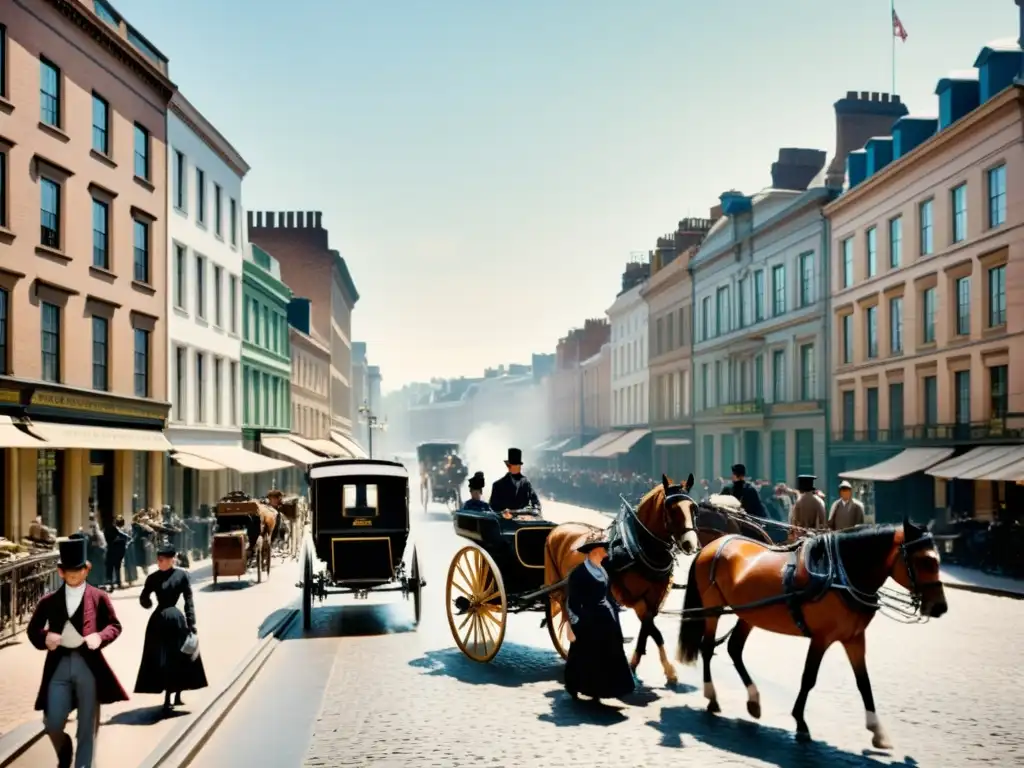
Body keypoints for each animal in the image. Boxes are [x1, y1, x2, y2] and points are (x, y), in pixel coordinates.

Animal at [540, 475, 700, 684]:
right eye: (671, 509)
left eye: (693, 508)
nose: (690, 544)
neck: (636, 547)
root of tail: (557, 530)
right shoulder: (631, 598)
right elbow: (654, 630)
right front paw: (666, 669)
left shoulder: (654, 601)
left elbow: (648, 630)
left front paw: (637, 664)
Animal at [675, 514, 946, 749]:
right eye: (926, 560)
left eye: (937, 561)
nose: (940, 606)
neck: (840, 575)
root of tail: (711, 546)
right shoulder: (821, 638)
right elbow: (809, 678)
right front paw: (801, 722)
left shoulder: (854, 638)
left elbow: (863, 682)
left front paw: (877, 730)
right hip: (712, 609)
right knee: (707, 648)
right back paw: (712, 697)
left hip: (748, 614)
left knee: (734, 649)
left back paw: (753, 700)